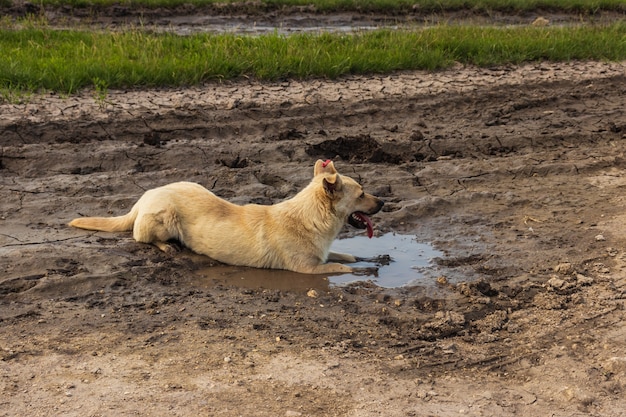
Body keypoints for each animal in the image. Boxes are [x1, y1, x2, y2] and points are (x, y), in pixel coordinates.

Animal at [67, 159, 380, 272]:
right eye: (362, 193)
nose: (385, 201)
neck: (311, 217)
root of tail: (144, 196)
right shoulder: (306, 269)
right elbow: (342, 267)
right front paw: (362, 270)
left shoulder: (322, 255)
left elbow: (346, 256)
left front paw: (371, 259)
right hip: (164, 217)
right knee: (142, 238)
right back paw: (167, 246)